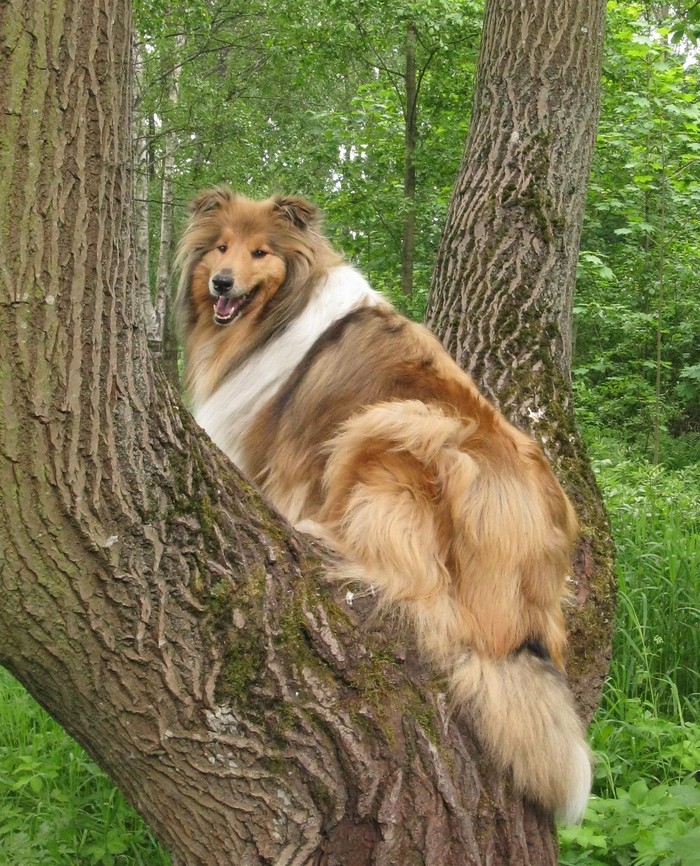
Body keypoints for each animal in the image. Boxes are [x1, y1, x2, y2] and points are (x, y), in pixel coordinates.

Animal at [178, 186, 592, 820]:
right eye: (220, 247)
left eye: (260, 252)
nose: (222, 283)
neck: (274, 316)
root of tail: (523, 613)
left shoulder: (290, 447)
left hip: (399, 424)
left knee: (410, 578)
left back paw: (320, 535)